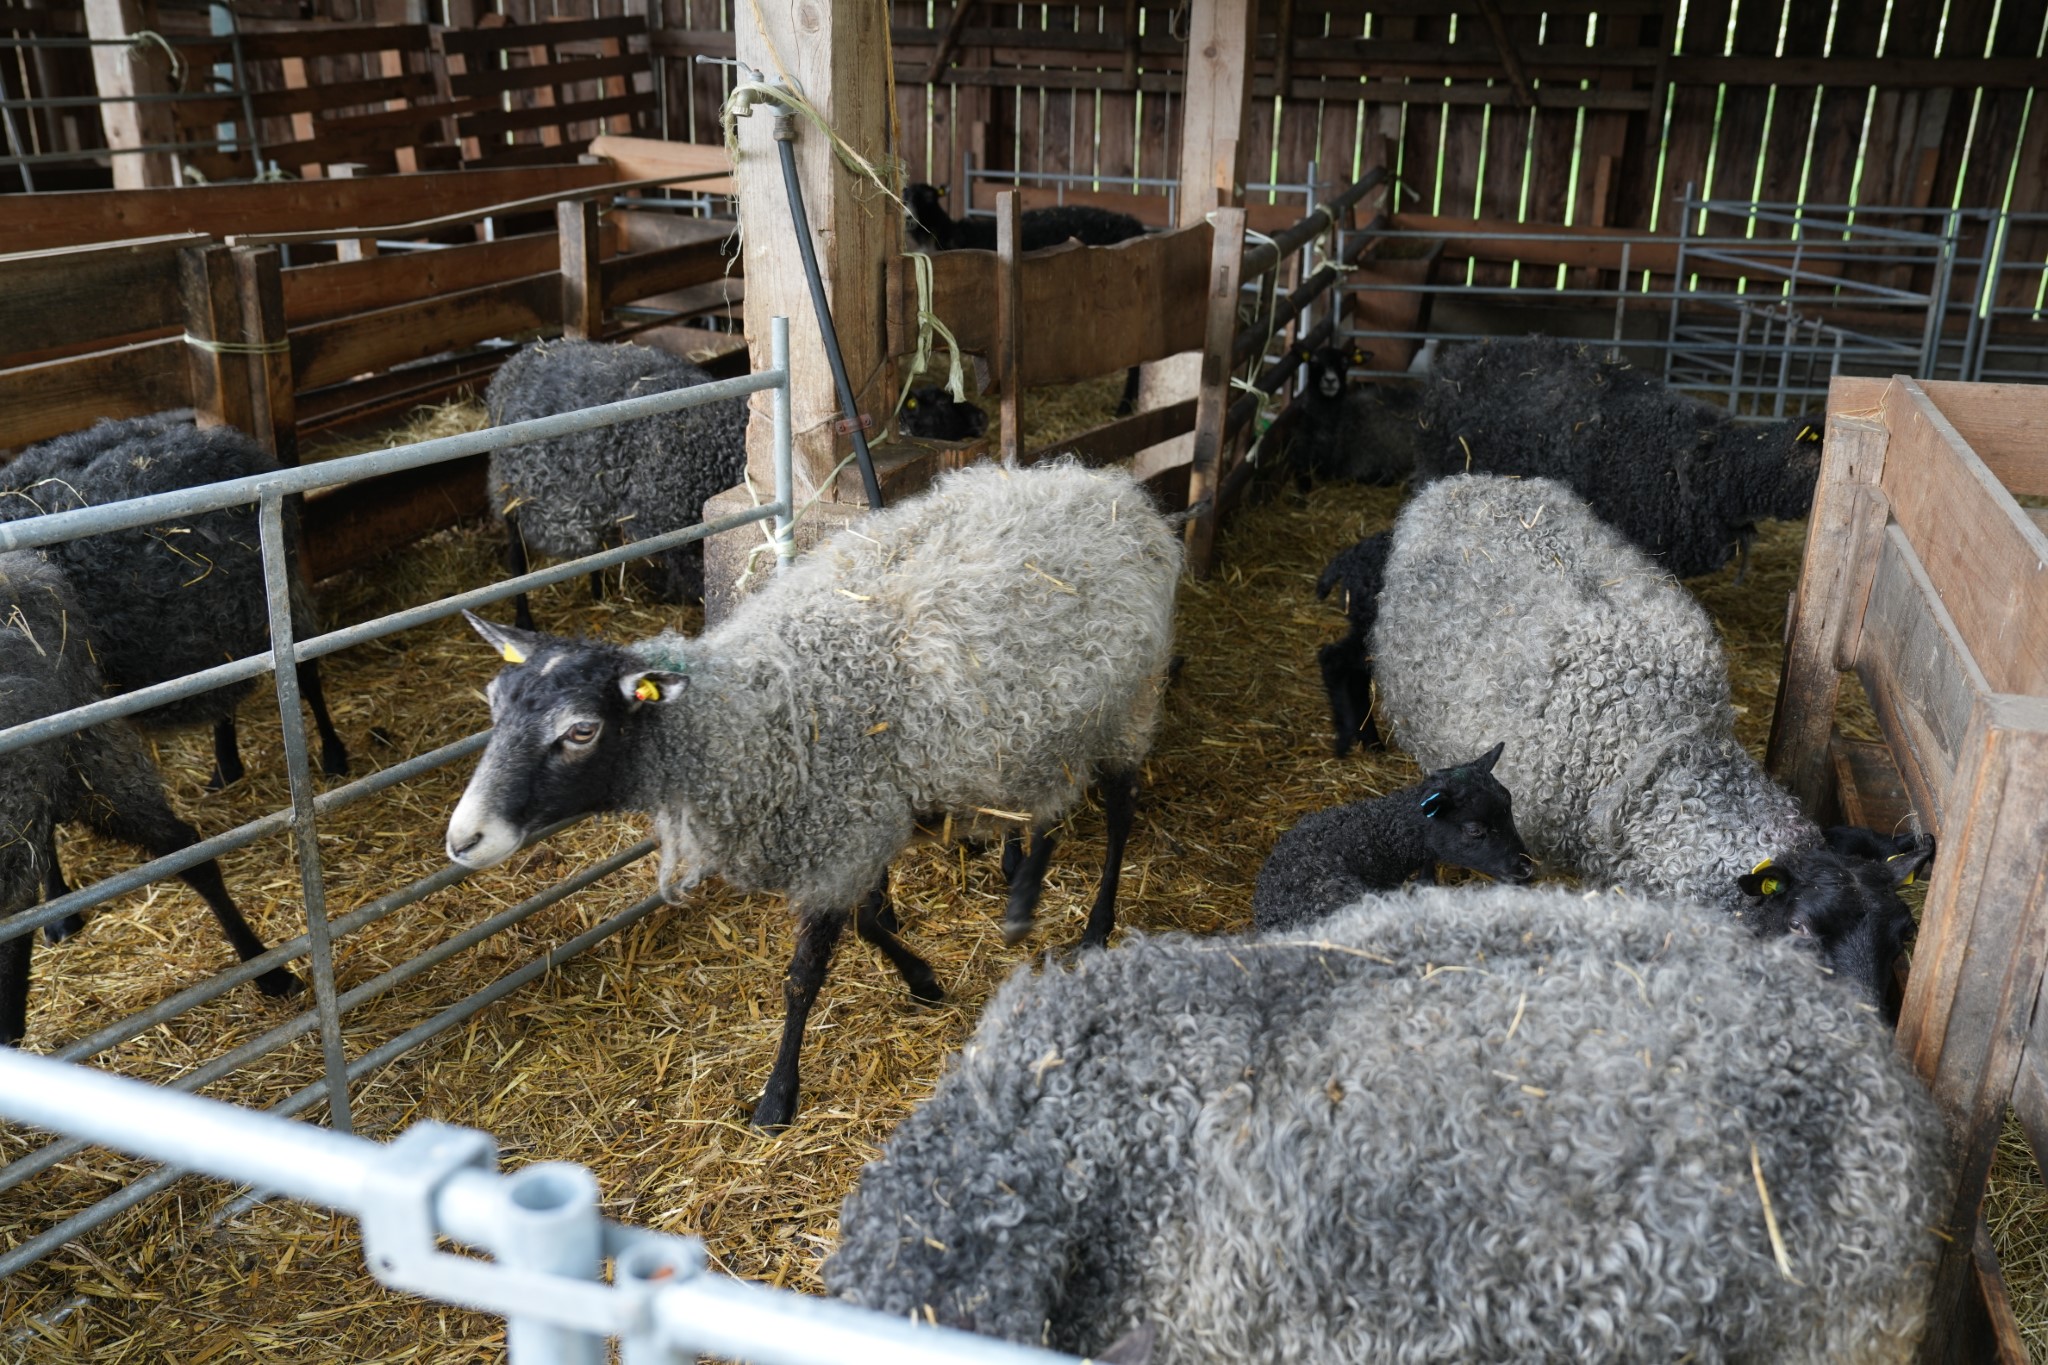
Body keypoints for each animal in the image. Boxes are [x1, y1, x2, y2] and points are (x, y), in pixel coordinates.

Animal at [0, 415, 348, 789]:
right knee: (224, 684)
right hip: (216, 618)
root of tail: (232, 444)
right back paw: (226, 769)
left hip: (274, 596)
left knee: (303, 670)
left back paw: (333, 755)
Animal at [442, 459, 1181, 1127]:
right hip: (1046, 727)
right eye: (493, 702)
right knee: (1047, 809)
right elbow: (870, 921)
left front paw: (778, 1096)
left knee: (1118, 812)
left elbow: (804, 974)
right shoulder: (856, 824)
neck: (747, 717)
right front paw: (922, 979)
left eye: (581, 731)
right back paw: (1022, 890)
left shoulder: (843, 830)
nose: (463, 838)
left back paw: (1093, 927)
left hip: (1129, 703)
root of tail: (1111, 487)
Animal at [483, 339, 747, 632]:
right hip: (510, 492)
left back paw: (597, 593)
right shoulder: (675, 532)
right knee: (517, 556)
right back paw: (524, 618)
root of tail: (524, 354)